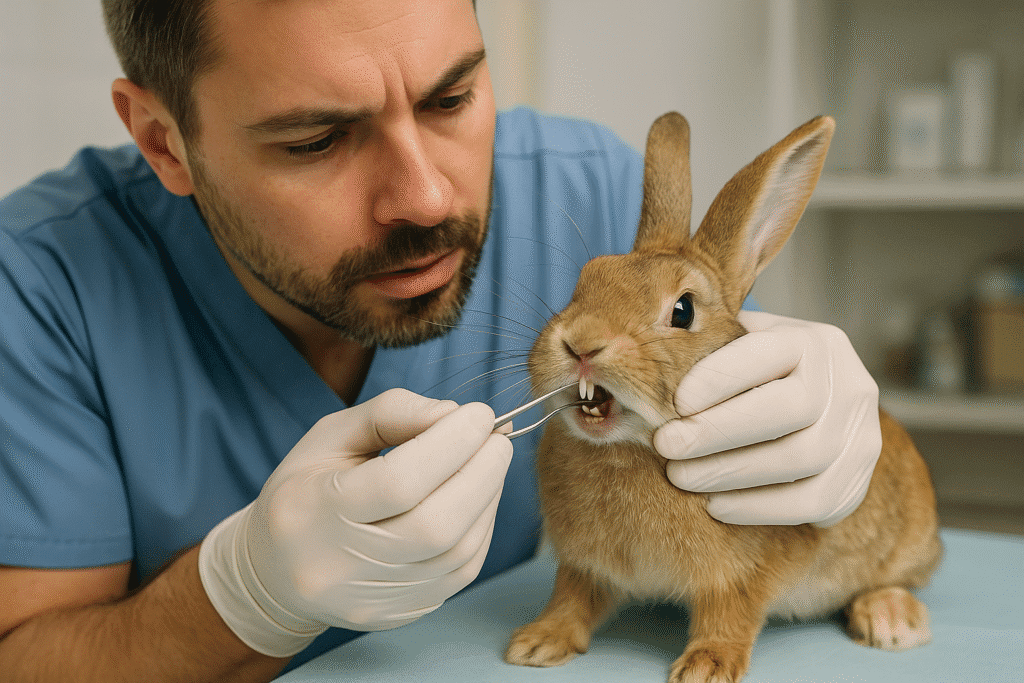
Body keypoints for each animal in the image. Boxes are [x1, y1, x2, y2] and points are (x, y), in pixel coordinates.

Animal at [504, 112, 943, 683]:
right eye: (586, 278)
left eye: (683, 310)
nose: (582, 342)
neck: (626, 450)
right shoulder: (584, 565)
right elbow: (571, 597)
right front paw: (537, 643)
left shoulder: (741, 573)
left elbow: (728, 612)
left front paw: (706, 666)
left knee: (897, 577)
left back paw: (891, 619)